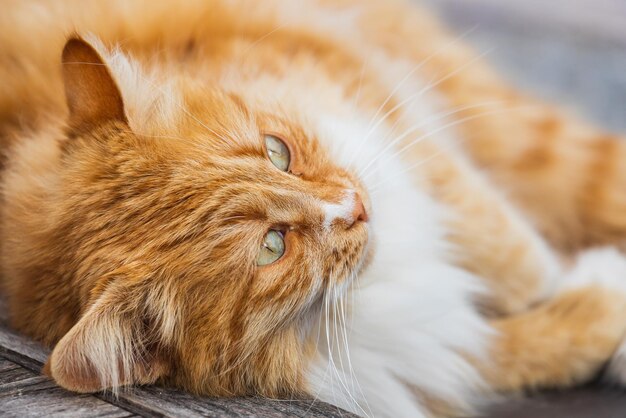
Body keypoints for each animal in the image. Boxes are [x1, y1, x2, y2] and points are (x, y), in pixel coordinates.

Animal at [1, 0, 624, 418]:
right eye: (272, 247)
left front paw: (548, 277)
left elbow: (497, 237)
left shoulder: (372, 99)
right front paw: (594, 301)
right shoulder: (412, 358)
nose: (357, 208)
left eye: (278, 153)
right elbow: (504, 346)